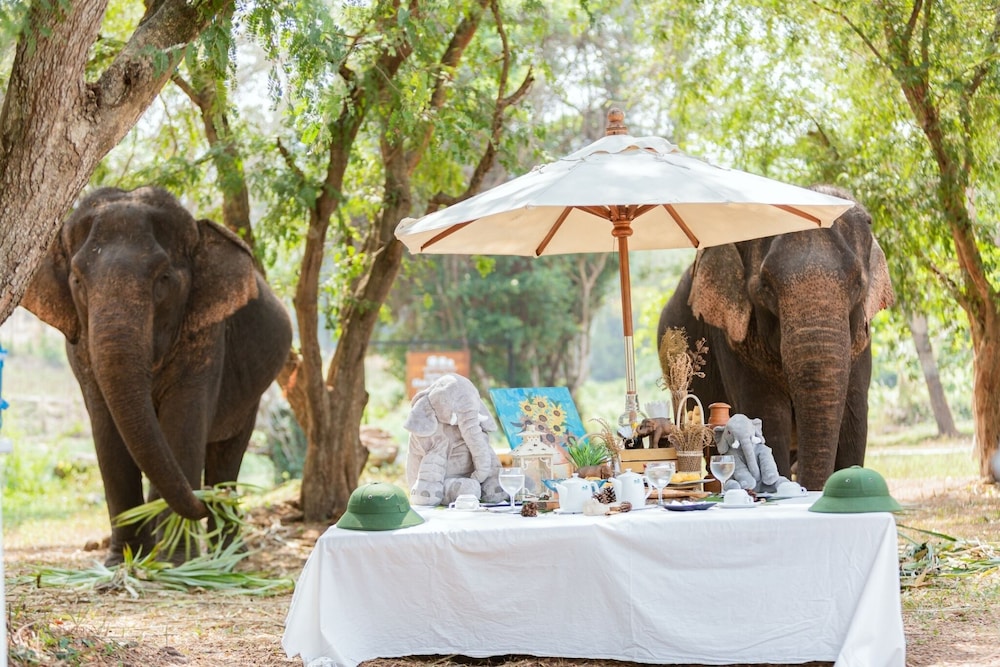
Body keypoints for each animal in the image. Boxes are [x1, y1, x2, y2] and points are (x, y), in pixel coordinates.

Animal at [21, 186, 292, 564]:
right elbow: (107, 432)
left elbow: (182, 425)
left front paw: (176, 562)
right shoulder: (80, 350)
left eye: (164, 278)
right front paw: (123, 561)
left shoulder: (205, 335)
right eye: (76, 280)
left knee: (227, 455)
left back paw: (228, 554)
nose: (203, 502)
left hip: (251, 395)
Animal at [657, 185, 894, 490]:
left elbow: (853, 427)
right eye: (765, 288)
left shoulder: (860, 347)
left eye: (858, 285)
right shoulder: (734, 342)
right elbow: (768, 419)